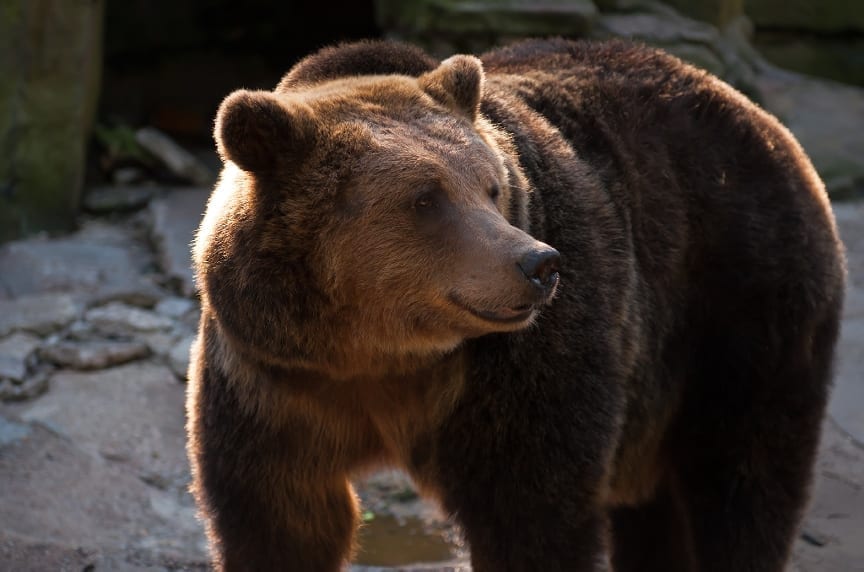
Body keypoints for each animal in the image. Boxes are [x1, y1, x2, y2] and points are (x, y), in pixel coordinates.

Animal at [187, 40, 844, 572]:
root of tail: (757, 116)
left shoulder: (519, 374)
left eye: (492, 187)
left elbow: (532, 512)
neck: (380, 354)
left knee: (743, 482)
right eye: (424, 198)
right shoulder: (273, 380)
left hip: (741, 310)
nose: (539, 264)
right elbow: (278, 519)